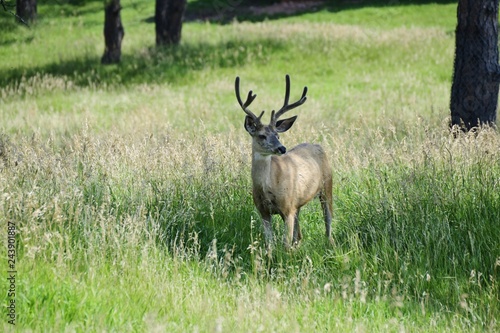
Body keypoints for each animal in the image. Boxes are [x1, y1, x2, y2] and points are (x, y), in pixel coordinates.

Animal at [235, 74, 336, 248]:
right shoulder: (263, 211)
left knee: (328, 218)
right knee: (299, 233)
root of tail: (317, 145)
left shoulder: (287, 207)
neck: (268, 186)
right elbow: (270, 244)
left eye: (278, 135)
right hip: (298, 202)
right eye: (262, 135)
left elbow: (285, 244)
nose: (282, 148)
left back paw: (330, 243)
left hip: (326, 185)